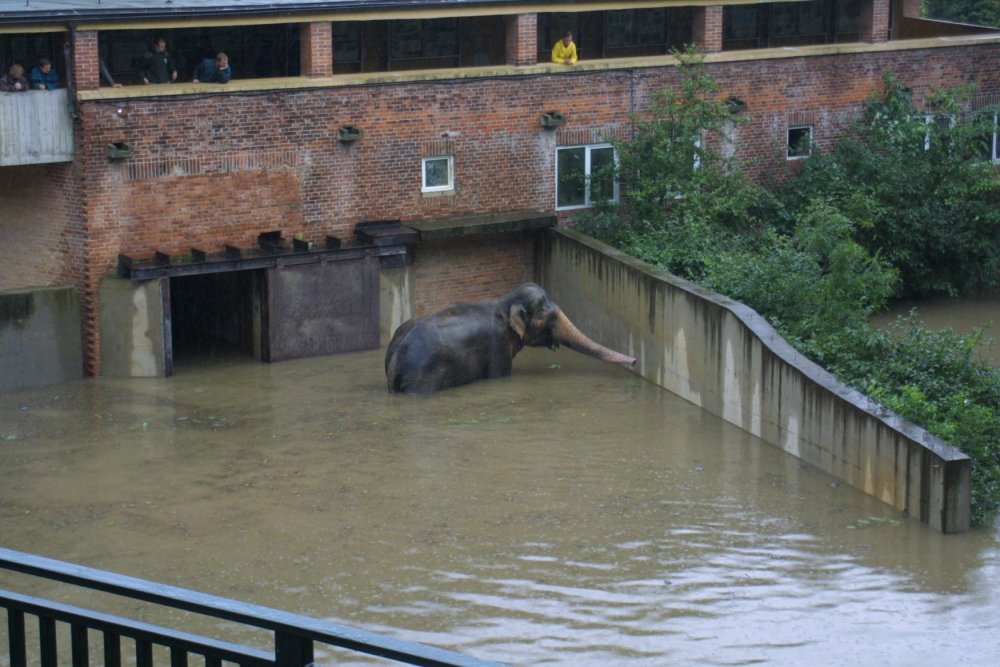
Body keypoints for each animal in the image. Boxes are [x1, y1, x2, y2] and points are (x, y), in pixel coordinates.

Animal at [386, 280, 636, 394]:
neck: (505, 302)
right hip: (423, 378)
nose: (635, 361)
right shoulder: (498, 345)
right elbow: (499, 375)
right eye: (551, 317)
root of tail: (395, 358)